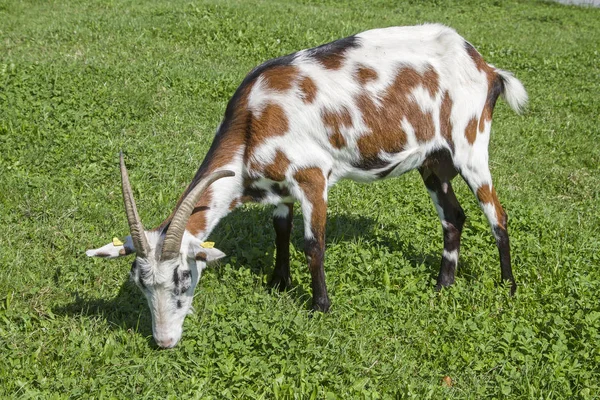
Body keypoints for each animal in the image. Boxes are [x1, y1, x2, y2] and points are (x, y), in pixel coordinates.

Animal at [86, 24, 528, 346]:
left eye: (183, 277)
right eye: (140, 284)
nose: (164, 341)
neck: (254, 119)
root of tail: (486, 67)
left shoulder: (312, 177)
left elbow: (313, 243)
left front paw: (320, 306)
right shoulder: (278, 187)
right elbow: (280, 229)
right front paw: (279, 282)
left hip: (471, 147)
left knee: (498, 215)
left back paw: (508, 286)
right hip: (434, 161)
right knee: (454, 217)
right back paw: (442, 285)